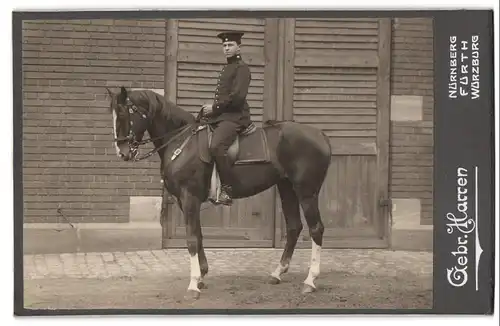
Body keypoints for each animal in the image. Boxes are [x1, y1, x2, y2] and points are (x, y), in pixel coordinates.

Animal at [105, 86, 332, 298]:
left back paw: (310, 280)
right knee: (294, 227)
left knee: (316, 229)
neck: (181, 141)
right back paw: (277, 273)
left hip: (307, 192)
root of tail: (319, 134)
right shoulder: (185, 201)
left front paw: (193, 284)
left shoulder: (189, 198)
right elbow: (198, 235)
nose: (122, 153)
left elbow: (191, 239)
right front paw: (201, 276)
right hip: (287, 188)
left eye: (124, 114)